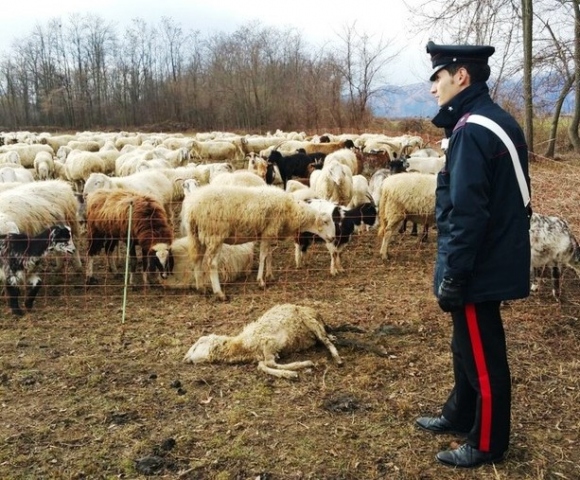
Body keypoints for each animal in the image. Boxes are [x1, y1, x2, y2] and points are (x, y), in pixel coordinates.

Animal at [181, 185, 336, 300]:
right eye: (326, 222)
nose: (333, 238)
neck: (291, 212)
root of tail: (192, 209)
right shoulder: (268, 232)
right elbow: (262, 257)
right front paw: (261, 281)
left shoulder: (268, 234)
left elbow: (269, 255)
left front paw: (270, 275)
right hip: (215, 234)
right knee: (211, 263)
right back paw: (219, 293)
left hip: (195, 235)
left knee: (197, 260)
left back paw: (201, 288)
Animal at [182, 304, 344, 378]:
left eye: (196, 346)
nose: (185, 359)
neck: (241, 345)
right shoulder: (264, 352)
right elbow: (263, 366)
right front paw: (289, 373)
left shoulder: (269, 342)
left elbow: (269, 363)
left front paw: (302, 366)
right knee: (324, 338)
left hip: (309, 320)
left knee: (325, 340)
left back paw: (337, 358)